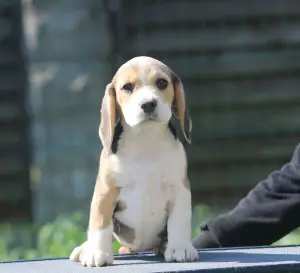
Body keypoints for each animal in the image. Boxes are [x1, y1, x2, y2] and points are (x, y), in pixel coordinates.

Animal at [69, 55, 198, 266]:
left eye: (162, 83)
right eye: (127, 87)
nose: (148, 104)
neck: (145, 139)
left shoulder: (180, 188)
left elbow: (179, 220)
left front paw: (180, 248)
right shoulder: (106, 190)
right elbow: (100, 223)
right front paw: (97, 252)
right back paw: (85, 249)